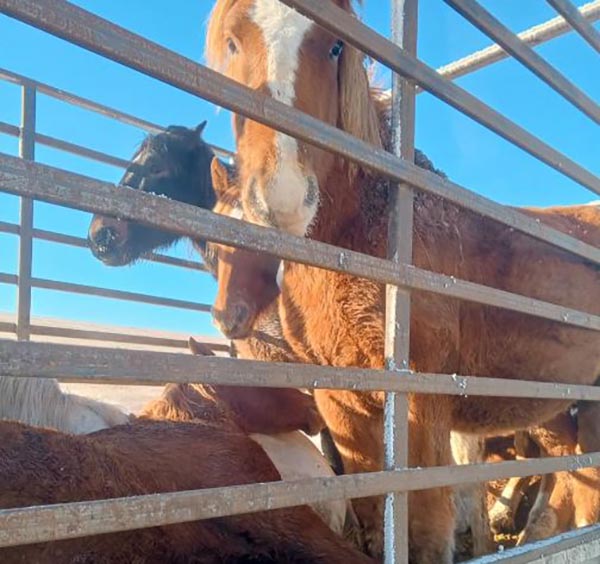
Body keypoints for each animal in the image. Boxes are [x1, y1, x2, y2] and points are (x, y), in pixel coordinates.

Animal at [205, 3, 600, 560]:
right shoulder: (341, 406)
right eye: (234, 42)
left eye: (335, 46)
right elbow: (374, 513)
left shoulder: (421, 403)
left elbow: (429, 523)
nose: (283, 196)